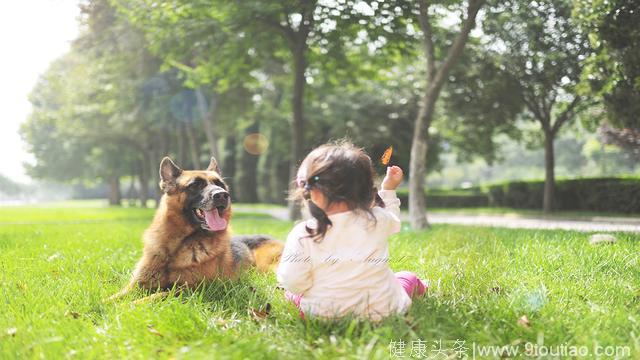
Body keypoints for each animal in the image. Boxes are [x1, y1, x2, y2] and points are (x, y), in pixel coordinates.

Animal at [109, 156, 282, 300]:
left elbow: (154, 296)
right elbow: (114, 297)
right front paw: (105, 306)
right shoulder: (136, 285)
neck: (177, 246)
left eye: (220, 184)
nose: (223, 195)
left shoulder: (189, 289)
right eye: (195, 185)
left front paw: (129, 305)